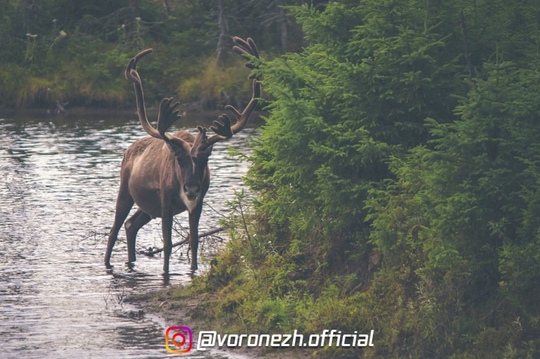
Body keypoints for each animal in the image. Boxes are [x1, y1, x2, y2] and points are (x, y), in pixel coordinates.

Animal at [104, 37, 260, 272]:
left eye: (205, 159)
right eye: (179, 159)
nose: (192, 188)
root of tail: (128, 150)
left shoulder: (198, 203)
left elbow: (194, 240)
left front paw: (193, 270)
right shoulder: (166, 201)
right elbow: (168, 243)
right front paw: (166, 273)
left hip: (148, 207)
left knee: (131, 225)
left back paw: (131, 261)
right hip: (125, 191)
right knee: (114, 230)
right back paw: (108, 263)